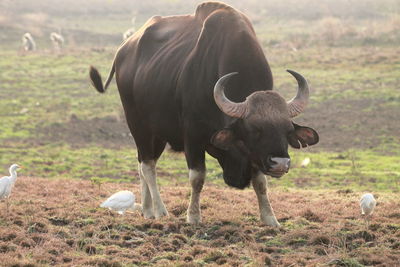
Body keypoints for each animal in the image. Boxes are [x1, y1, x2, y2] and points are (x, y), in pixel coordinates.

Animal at [90, 2, 318, 228]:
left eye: (287, 129)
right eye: (255, 129)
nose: (280, 163)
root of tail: (123, 50)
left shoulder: (257, 154)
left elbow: (260, 182)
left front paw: (270, 218)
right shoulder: (193, 137)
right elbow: (197, 178)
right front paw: (193, 216)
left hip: (159, 134)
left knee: (142, 164)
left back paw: (147, 209)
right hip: (137, 125)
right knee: (148, 166)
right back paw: (160, 210)